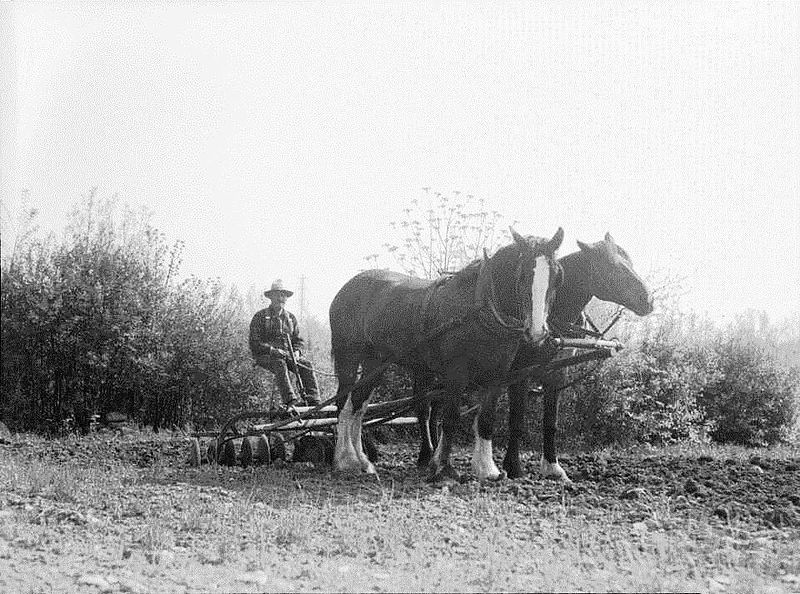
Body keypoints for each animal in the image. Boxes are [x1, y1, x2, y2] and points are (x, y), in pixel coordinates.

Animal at [330, 227, 564, 480]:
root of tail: (348, 287)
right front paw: (443, 468)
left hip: (375, 362)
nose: (537, 331)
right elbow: (450, 418)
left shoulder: (498, 375)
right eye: (522, 274)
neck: (480, 309)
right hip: (348, 356)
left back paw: (363, 461)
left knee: (358, 406)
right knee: (343, 404)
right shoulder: (456, 372)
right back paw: (345, 460)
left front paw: (487, 468)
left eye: (556, 276)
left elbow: (486, 419)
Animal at [500, 231, 656, 480]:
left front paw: (553, 467)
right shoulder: (519, 372)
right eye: (612, 265)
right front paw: (513, 467)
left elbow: (551, 422)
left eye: (629, 262)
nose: (649, 301)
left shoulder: (556, 371)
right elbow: (516, 420)